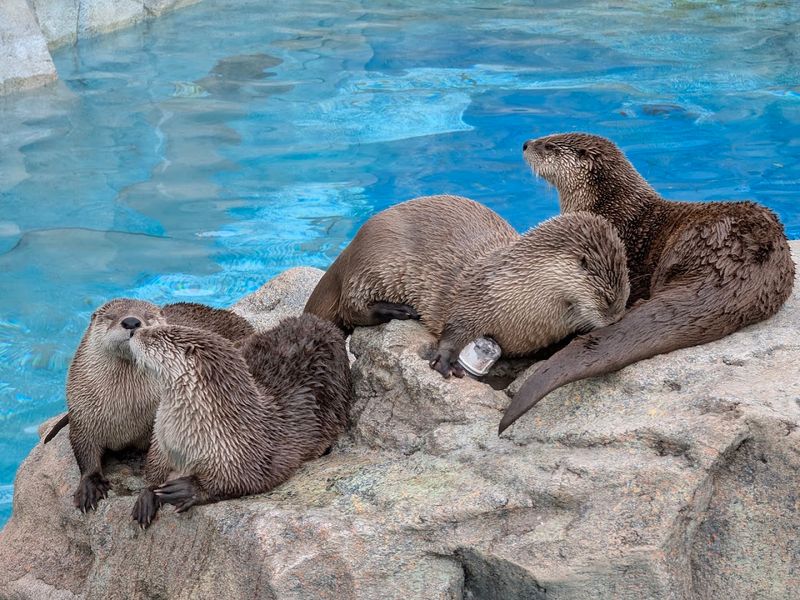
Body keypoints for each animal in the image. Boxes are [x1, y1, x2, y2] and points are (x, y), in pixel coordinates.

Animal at [55, 299, 253, 512]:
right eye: (111, 316)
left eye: (148, 317)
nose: (131, 322)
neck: (126, 411)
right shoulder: (82, 415)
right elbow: (84, 451)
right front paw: (90, 486)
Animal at [129, 315, 352, 528]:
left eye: (153, 336)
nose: (133, 332)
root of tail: (321, 322)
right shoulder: (160, 440)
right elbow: (154, 466)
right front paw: (148, 495)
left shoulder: (250, 451)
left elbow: (245, 478)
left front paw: (189, 488)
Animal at [304, 195, 630, 377]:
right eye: (607, 298)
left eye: (625, 298)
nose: (616, 319)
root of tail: (351, 247)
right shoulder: (478, 295)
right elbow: (456, 325)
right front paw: (446, 360)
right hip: (377, 263)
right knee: (351, 308)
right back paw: (396, 310)